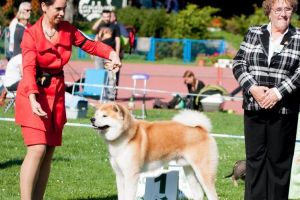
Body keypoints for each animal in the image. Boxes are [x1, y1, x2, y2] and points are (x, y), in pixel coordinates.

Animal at [90, 102, 219, 199]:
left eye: (105, 116)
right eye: (96, 114)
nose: (92, 119)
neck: (125, 137)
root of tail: (200, 128)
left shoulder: (131, 175)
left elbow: (128, 196)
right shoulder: (120, 175)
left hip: (203, 171)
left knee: (212, 194)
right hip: (189, 170)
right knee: (198, 193)